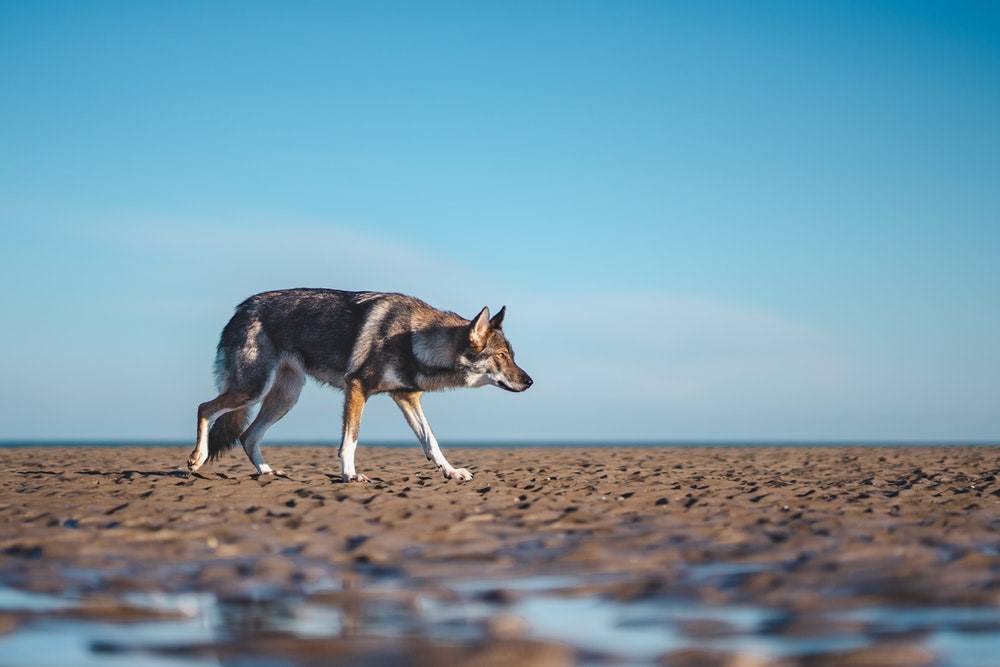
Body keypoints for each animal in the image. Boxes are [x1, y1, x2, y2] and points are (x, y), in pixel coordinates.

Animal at [186, 290, 532, 482]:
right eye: (502, 356)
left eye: (512, 356)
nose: (530, 381)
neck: (413, 339)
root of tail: (241, 308)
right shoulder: (356, 389)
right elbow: (350, 441)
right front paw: (349, 475)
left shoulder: (407, 398)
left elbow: (431, 441)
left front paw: (451, 471)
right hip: (252, 389)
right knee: (204, 408)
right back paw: (197, 458)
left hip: (284, 397)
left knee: (247, 436)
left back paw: (268, 472)